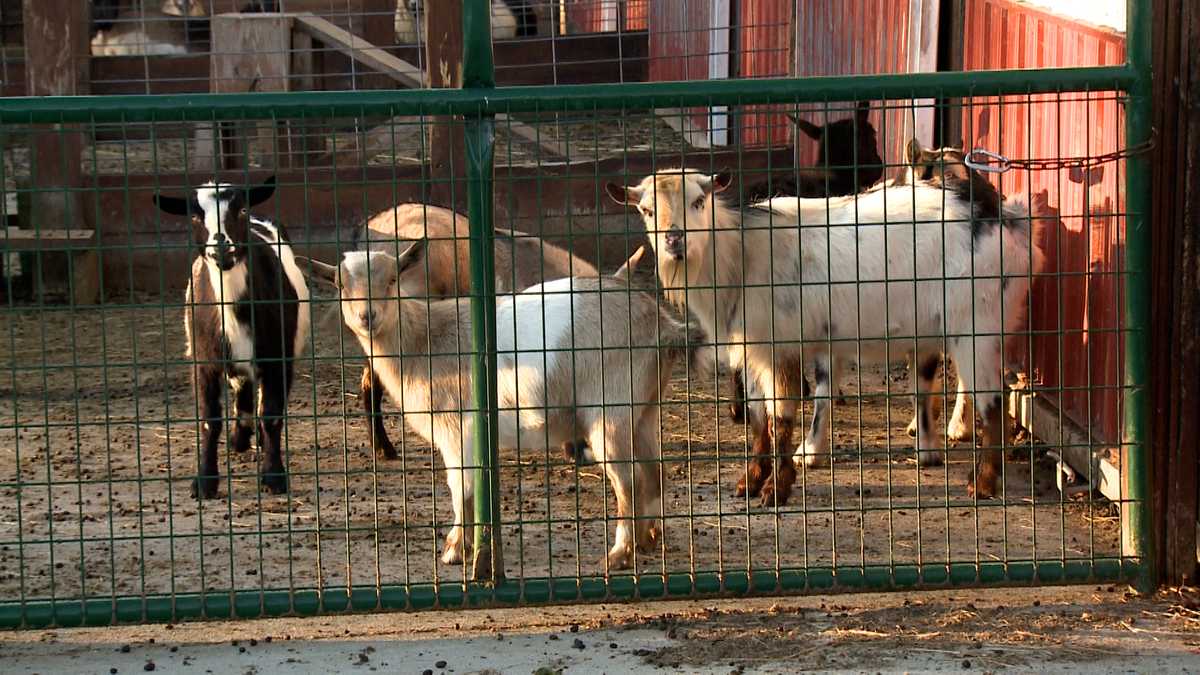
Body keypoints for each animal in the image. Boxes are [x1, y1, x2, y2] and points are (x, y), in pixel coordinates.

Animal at [152, 176, 309, 497]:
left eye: (241, 210)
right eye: (195, 216)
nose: (221, 248)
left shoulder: (277, 356)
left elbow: (272, 414)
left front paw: (274, 476)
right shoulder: (204, 361)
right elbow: (209, 420)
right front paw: (204, 481)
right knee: (242, 388)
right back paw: (240, 438)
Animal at [609, 165, 1041, 497]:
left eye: (699, 202)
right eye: (647, 210)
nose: (674, 240)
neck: (740, 254)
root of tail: (1006, 221)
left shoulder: (780, 344)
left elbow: (781, 415)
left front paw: (777, 488)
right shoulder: (752, 347)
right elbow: (758, 417)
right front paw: (751, 481)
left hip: (977, 326)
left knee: (994, 403)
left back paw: (982, 483)